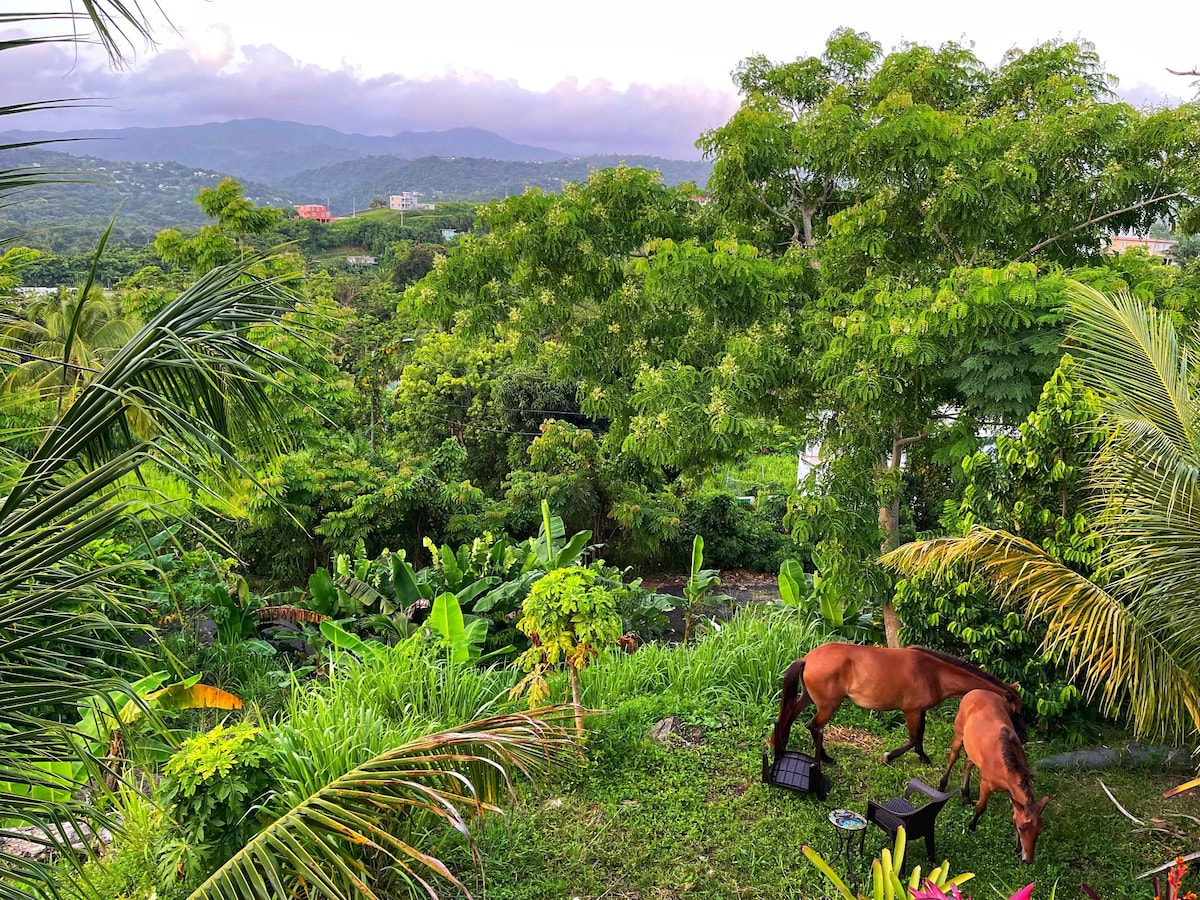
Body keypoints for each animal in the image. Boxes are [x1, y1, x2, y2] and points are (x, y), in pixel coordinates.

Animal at [768, 643, 1022, 763]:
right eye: (1015, 711)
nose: (1021, 736)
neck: (934, 673)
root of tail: (807, 658)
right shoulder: (910, 711)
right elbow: (912, 738)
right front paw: (889, 756)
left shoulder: (920, 711)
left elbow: (920, 735)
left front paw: (923, 757)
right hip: (828, 706)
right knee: (814, 727)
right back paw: (827, 759)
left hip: (808, 698)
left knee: (789, 716)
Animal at [940, 691, 1046, 868]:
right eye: (1022, 828)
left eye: (1039, 831)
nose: (1028, 860)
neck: (1007, 765)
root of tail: (975, 691)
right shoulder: (986, 784)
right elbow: (981, 807)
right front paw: (971, 827)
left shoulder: (1013, 793)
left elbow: (1015, 812)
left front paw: (1017, 848)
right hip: (959, 734)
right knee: (953, 757)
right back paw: (942, 785)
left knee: (968, 762)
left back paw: (966, 796)